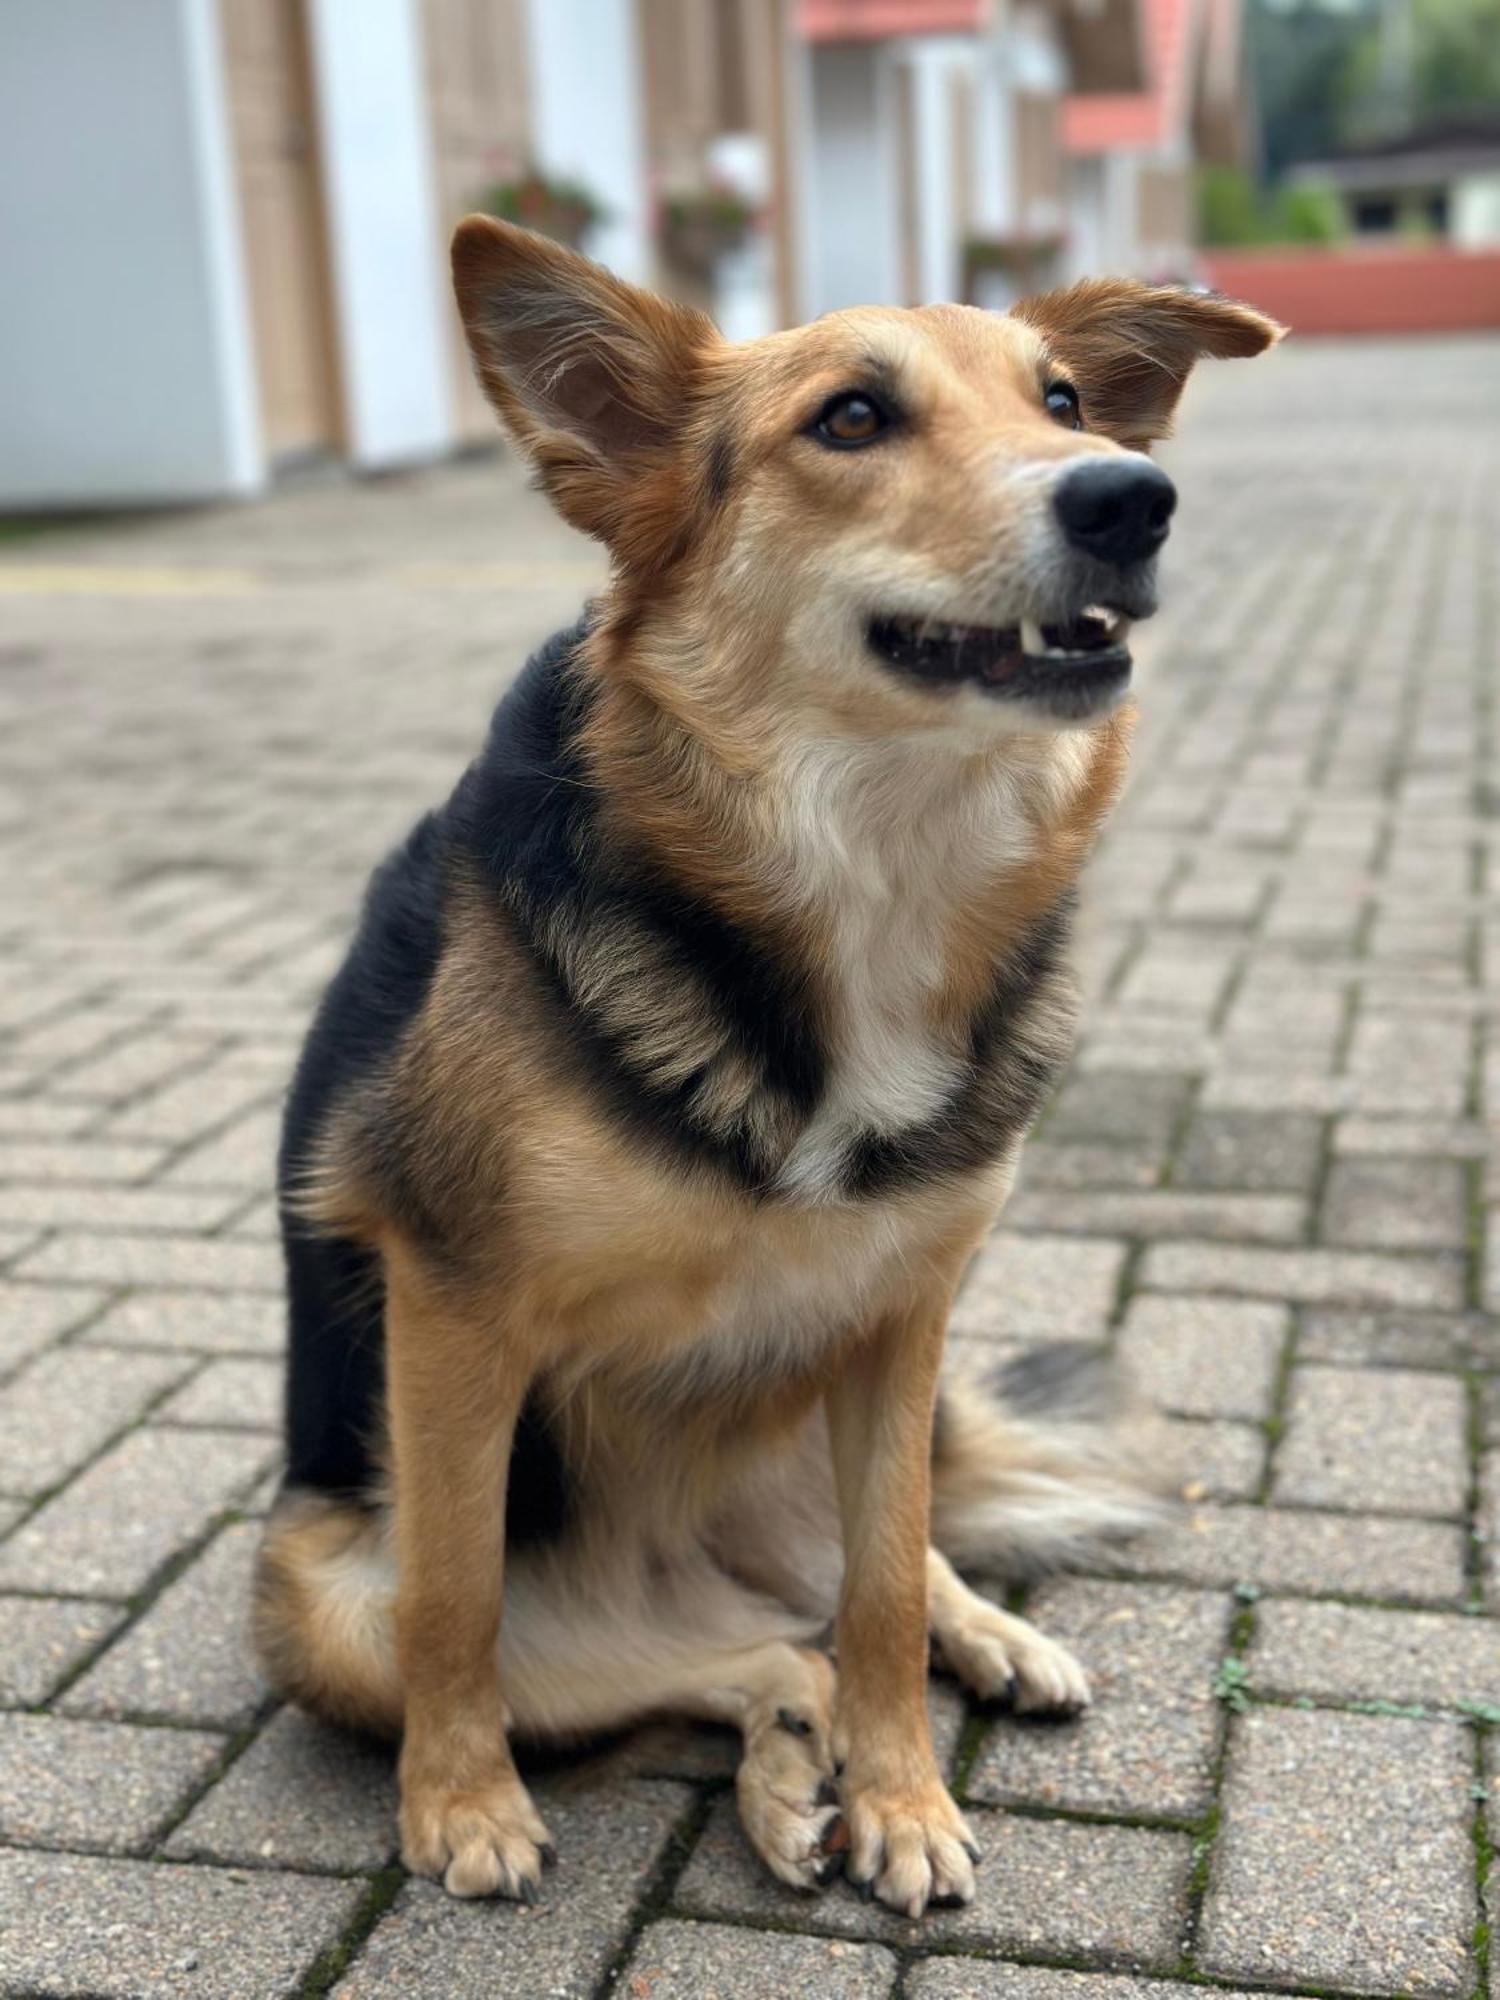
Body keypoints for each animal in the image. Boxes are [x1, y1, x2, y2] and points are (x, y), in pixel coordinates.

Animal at [253, 223, 1288, 1920]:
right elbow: (456, 1601)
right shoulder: (454, 1310)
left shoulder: (904, 1314)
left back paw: (967, 1660)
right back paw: (787, 1775)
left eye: (1065, 401)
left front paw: (909, 1797)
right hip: (317, 1595)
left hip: (849, 1427)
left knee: (849, 1599)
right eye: (851, 419)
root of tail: (700, 1566)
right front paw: (461, 1803)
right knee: (750, 1663)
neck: (864, 866)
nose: (1130, 499)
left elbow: (881, 1602)